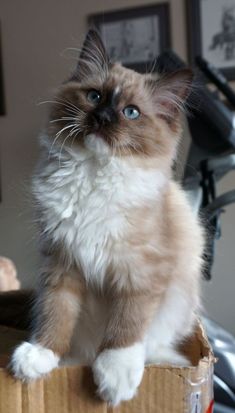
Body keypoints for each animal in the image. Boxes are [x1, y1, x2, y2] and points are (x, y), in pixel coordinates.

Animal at [10, 30, 204, 404]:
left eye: (130, 112)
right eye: (94, 96)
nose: (102, 118)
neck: (93, 174)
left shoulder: (140, 272)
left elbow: (126, 326)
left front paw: (115, 377)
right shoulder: (62, 264)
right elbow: (56, 314)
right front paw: (40, 356)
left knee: (152, 343)